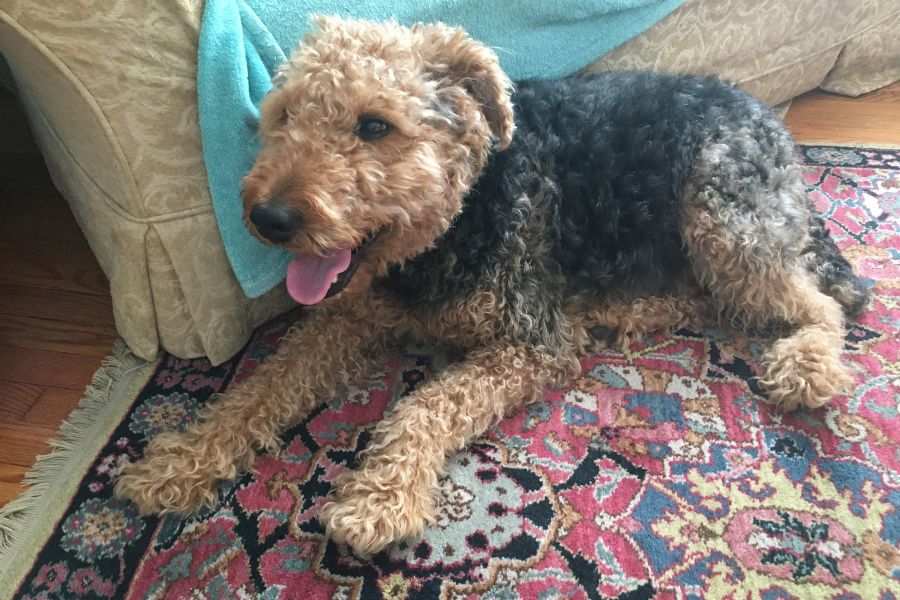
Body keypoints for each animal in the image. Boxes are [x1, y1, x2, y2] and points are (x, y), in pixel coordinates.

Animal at [116, 15, 868, 556]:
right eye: (285, 115)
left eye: (374, 125)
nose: (268, 218)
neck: (457, 216)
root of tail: (773, 123)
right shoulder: (347, 314)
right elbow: (261, 387)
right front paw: (179, 460)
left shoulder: (530, 342)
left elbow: (422, 406)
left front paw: (377, 499)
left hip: (722, 218)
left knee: (820, 302)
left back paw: (807, 364)